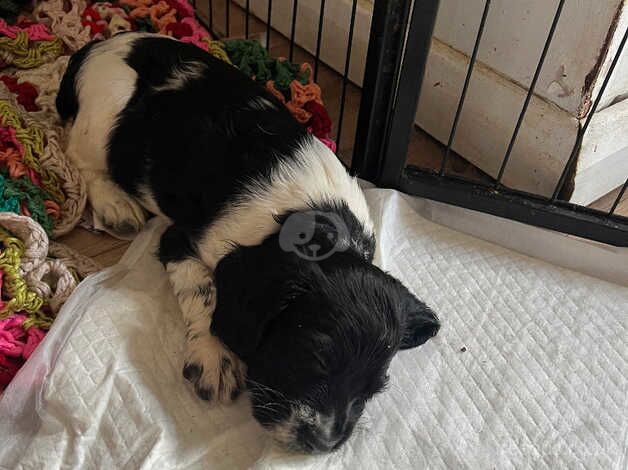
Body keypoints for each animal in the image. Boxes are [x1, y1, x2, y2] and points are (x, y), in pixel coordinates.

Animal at [57, 32, 442, 452]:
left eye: (374, 389)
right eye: (312, 358)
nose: (324, 443)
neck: (321, 222)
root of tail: (99, 44)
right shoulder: (179, 238)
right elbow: (206, 291)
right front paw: (216, 358)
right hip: (105, 113)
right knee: (79, 156)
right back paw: (115, 203)